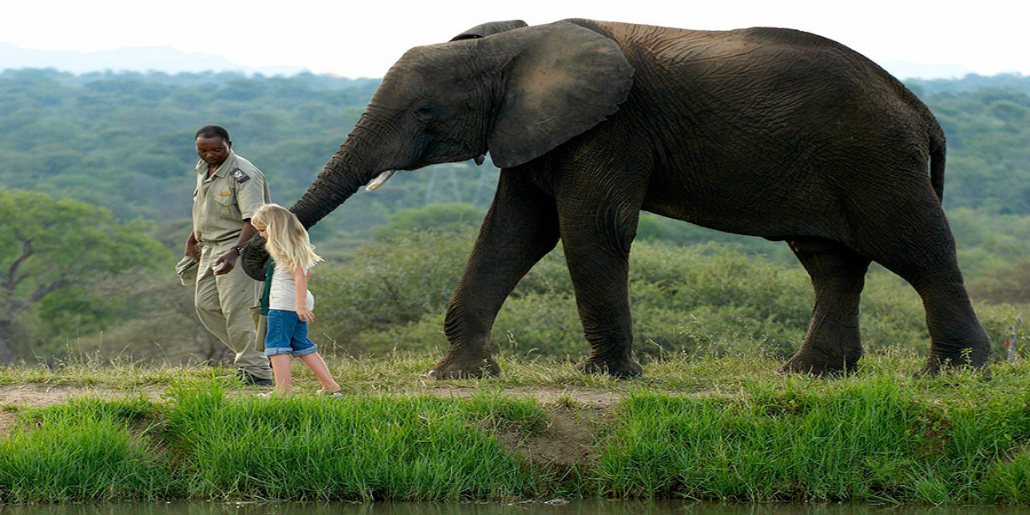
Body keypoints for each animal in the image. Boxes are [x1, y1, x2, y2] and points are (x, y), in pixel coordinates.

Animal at [241, 18, 988, 379]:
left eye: (425, 113)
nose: (254, 251)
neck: (512, 44)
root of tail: (921, 111)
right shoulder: (536, 128)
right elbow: (513, 232)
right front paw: (457, 375)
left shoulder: (611, 125)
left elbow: (588, 229)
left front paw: (607, 374)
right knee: (831, 262)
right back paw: (811, 374)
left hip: (875, 158)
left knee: (919, 251)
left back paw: (954, 373)